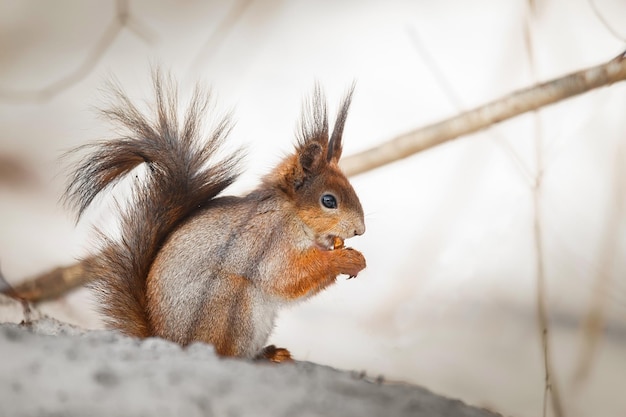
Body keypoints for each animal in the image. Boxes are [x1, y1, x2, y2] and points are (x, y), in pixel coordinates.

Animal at [62, 73, 366, 362]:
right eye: (329, 201)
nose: (360, 230)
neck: (292, 214)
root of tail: (169, 341)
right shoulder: (267, 239)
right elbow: (284, 277)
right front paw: (344, 259)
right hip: (228, 301)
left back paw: (270, 354)